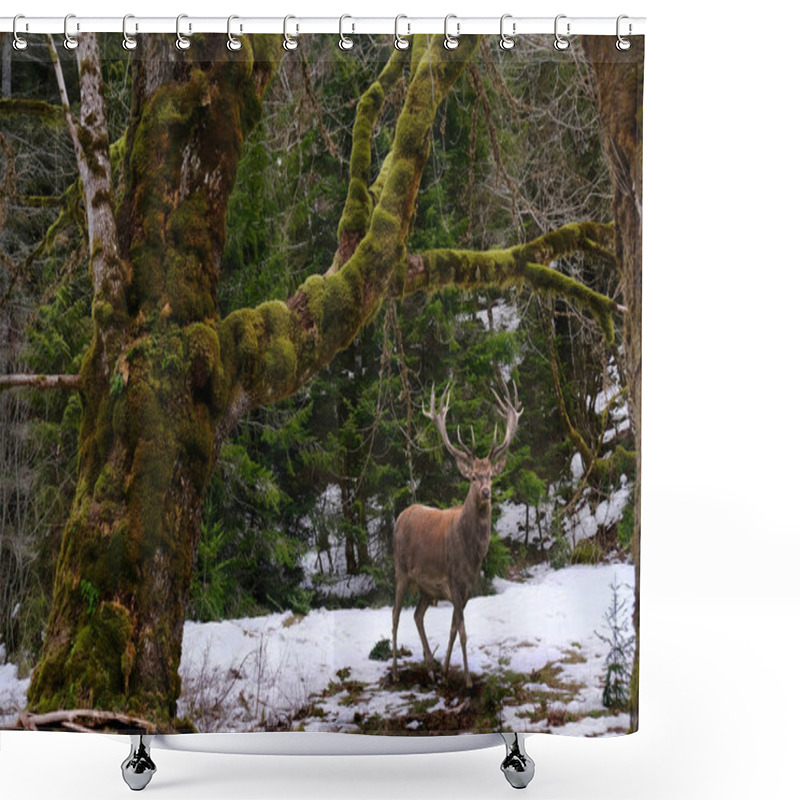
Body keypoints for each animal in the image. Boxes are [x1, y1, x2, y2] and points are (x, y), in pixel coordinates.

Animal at [390, 382, 520, 688]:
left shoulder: (467, 587)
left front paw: (447, 672)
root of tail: (399, 517)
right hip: (401, 570)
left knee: (417, 615)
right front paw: (469, 681)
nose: (485, 491)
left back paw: (430, 669)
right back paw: (395, 672)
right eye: (472, 476)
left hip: (425, 588)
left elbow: (451, 629)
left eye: (491, 475)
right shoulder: (454, 582)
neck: (472, 554)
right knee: (395, 616)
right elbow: (462, 632)